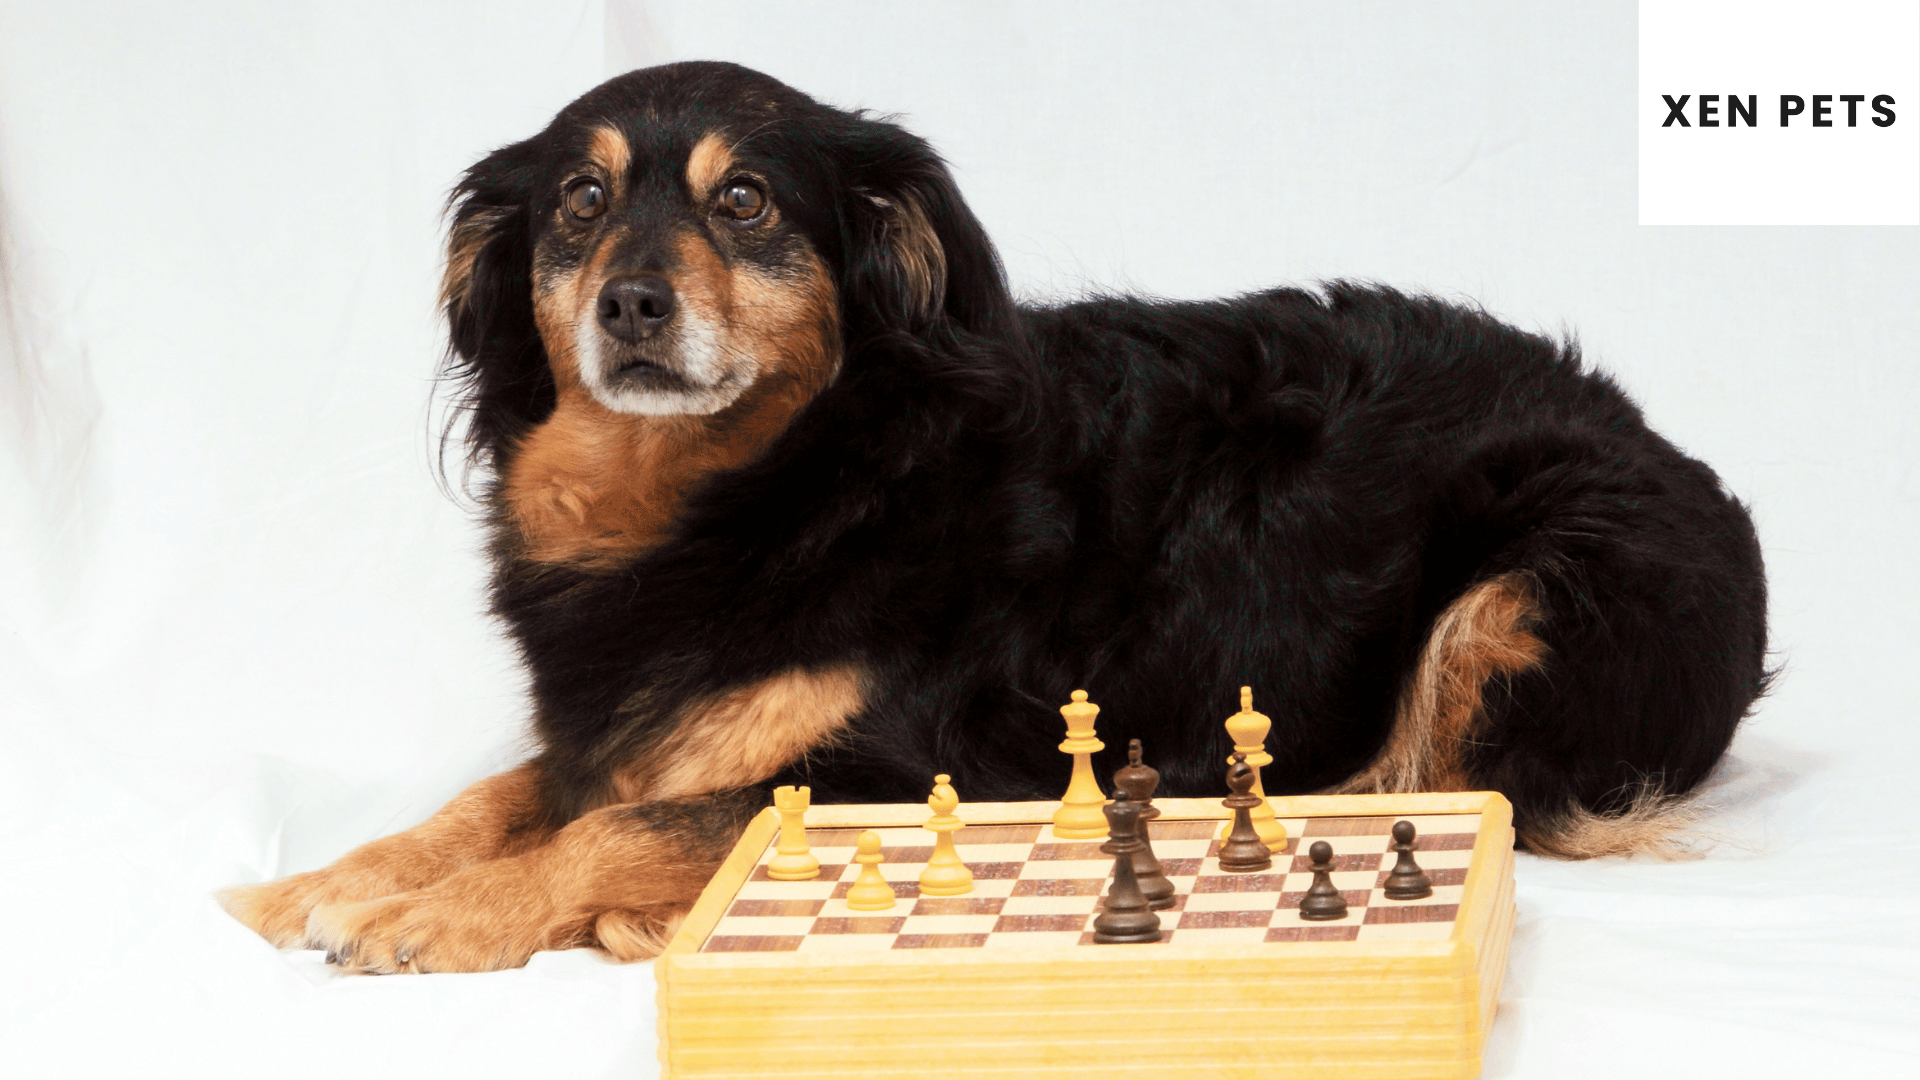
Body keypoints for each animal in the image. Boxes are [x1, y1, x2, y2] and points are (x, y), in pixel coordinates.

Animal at [217, 58, 1758, 972]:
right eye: (581, 202)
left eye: (748, 200)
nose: (630, 305)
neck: (788, 484)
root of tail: (1668, 446)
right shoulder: (629, 718)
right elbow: (507, 793)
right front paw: (335, 880)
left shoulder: (937, 773)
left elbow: (623, 826)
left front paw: (453, 915)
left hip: (1530, 582)